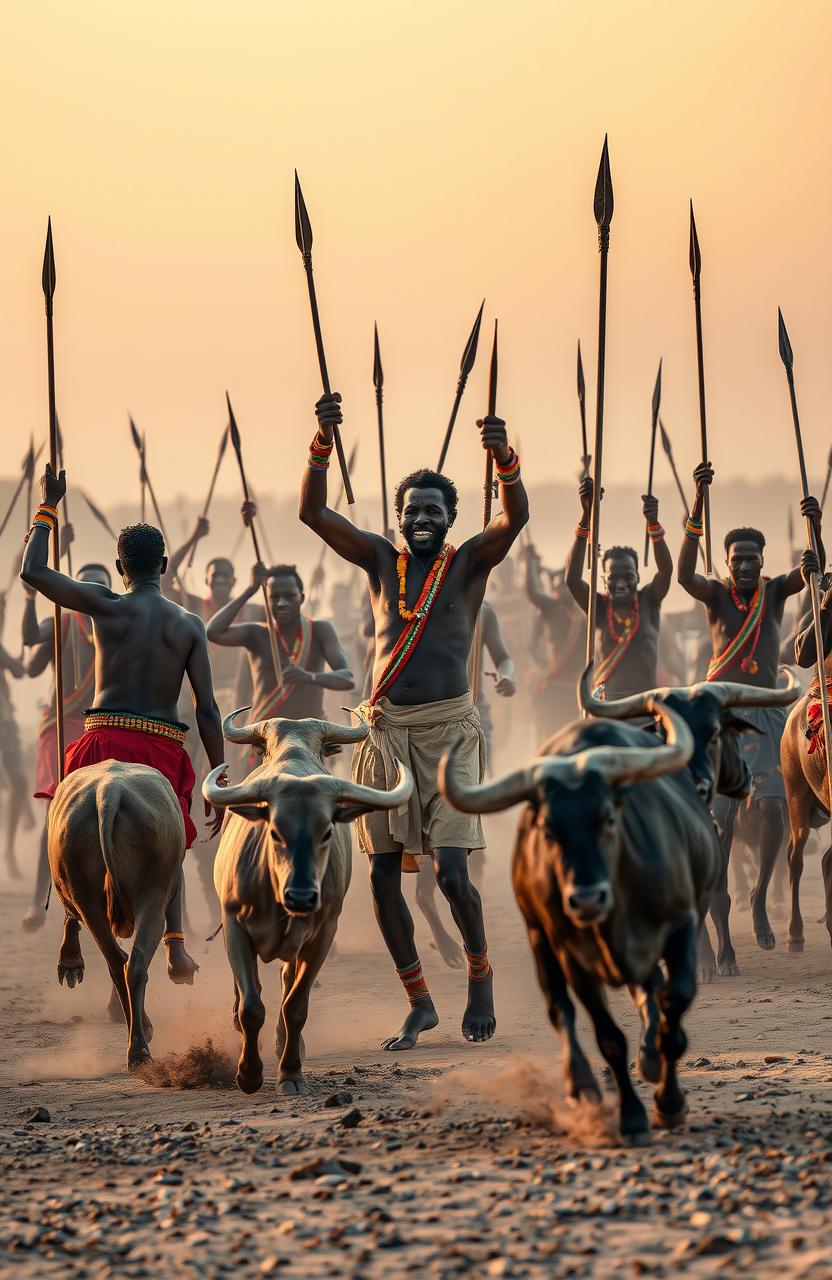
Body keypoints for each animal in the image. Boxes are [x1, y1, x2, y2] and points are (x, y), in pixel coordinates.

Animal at [48, 757, 186, 1070]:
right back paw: (141, 1042)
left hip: (87, 896)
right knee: (134, 963)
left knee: (118, 963)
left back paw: (138, 1045)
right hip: (153, 891)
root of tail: (107, 794)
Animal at [203, 711, 412, 1090]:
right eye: (274, 830)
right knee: (248, 993)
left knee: (287, 985)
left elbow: (295, 1006)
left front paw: (290, 1072)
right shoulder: (234, 926)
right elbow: (251, 1005)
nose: (301, 896)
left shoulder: (322, 935)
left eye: (326, 831)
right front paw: (248, 1074)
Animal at [440, 696, 716, 1146]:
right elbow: (608, 1037)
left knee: (650, 993)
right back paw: (582, 1084)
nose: (586, 898)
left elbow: (671, 1010)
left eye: (607, 817)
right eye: (548, 828)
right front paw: (633, 1117)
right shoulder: (573, 956)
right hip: (539, 937)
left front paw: (669, 1101)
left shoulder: (681, 926)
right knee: (560, 1009)